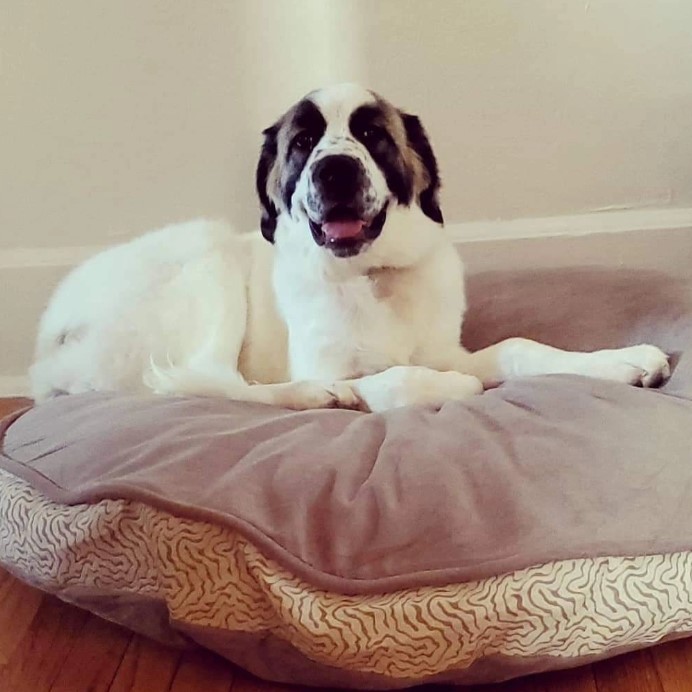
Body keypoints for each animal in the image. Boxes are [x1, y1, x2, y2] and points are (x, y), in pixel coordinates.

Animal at [31, 82, 672, 410]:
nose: (334, 169)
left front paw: (619, 361)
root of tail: (45, 343)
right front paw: (431, 388)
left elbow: (518, 347)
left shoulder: (446, 348)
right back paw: (321, 396)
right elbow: (403, 380)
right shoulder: (343, 359)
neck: (371, 276)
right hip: (207, 256)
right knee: (212, 381)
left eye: (371, 133)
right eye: (303, 141)